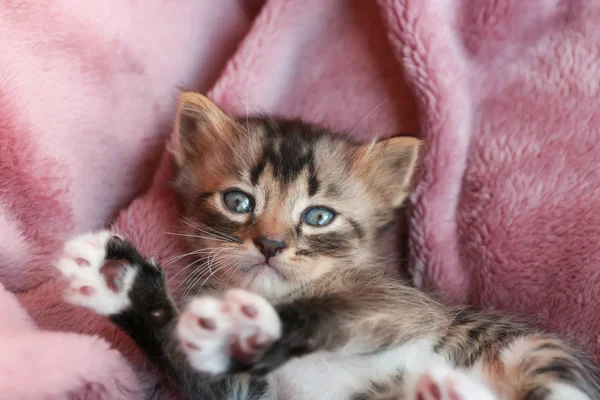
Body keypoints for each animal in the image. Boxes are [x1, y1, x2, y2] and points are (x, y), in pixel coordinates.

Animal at [54, 92, 596, 398]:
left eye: (317, 217)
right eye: (238, 201)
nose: (271, 244)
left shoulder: (398, 305)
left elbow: (326, 310)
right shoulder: (240, 392)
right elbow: (183, 354)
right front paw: (119, 285)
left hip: (541, 349)